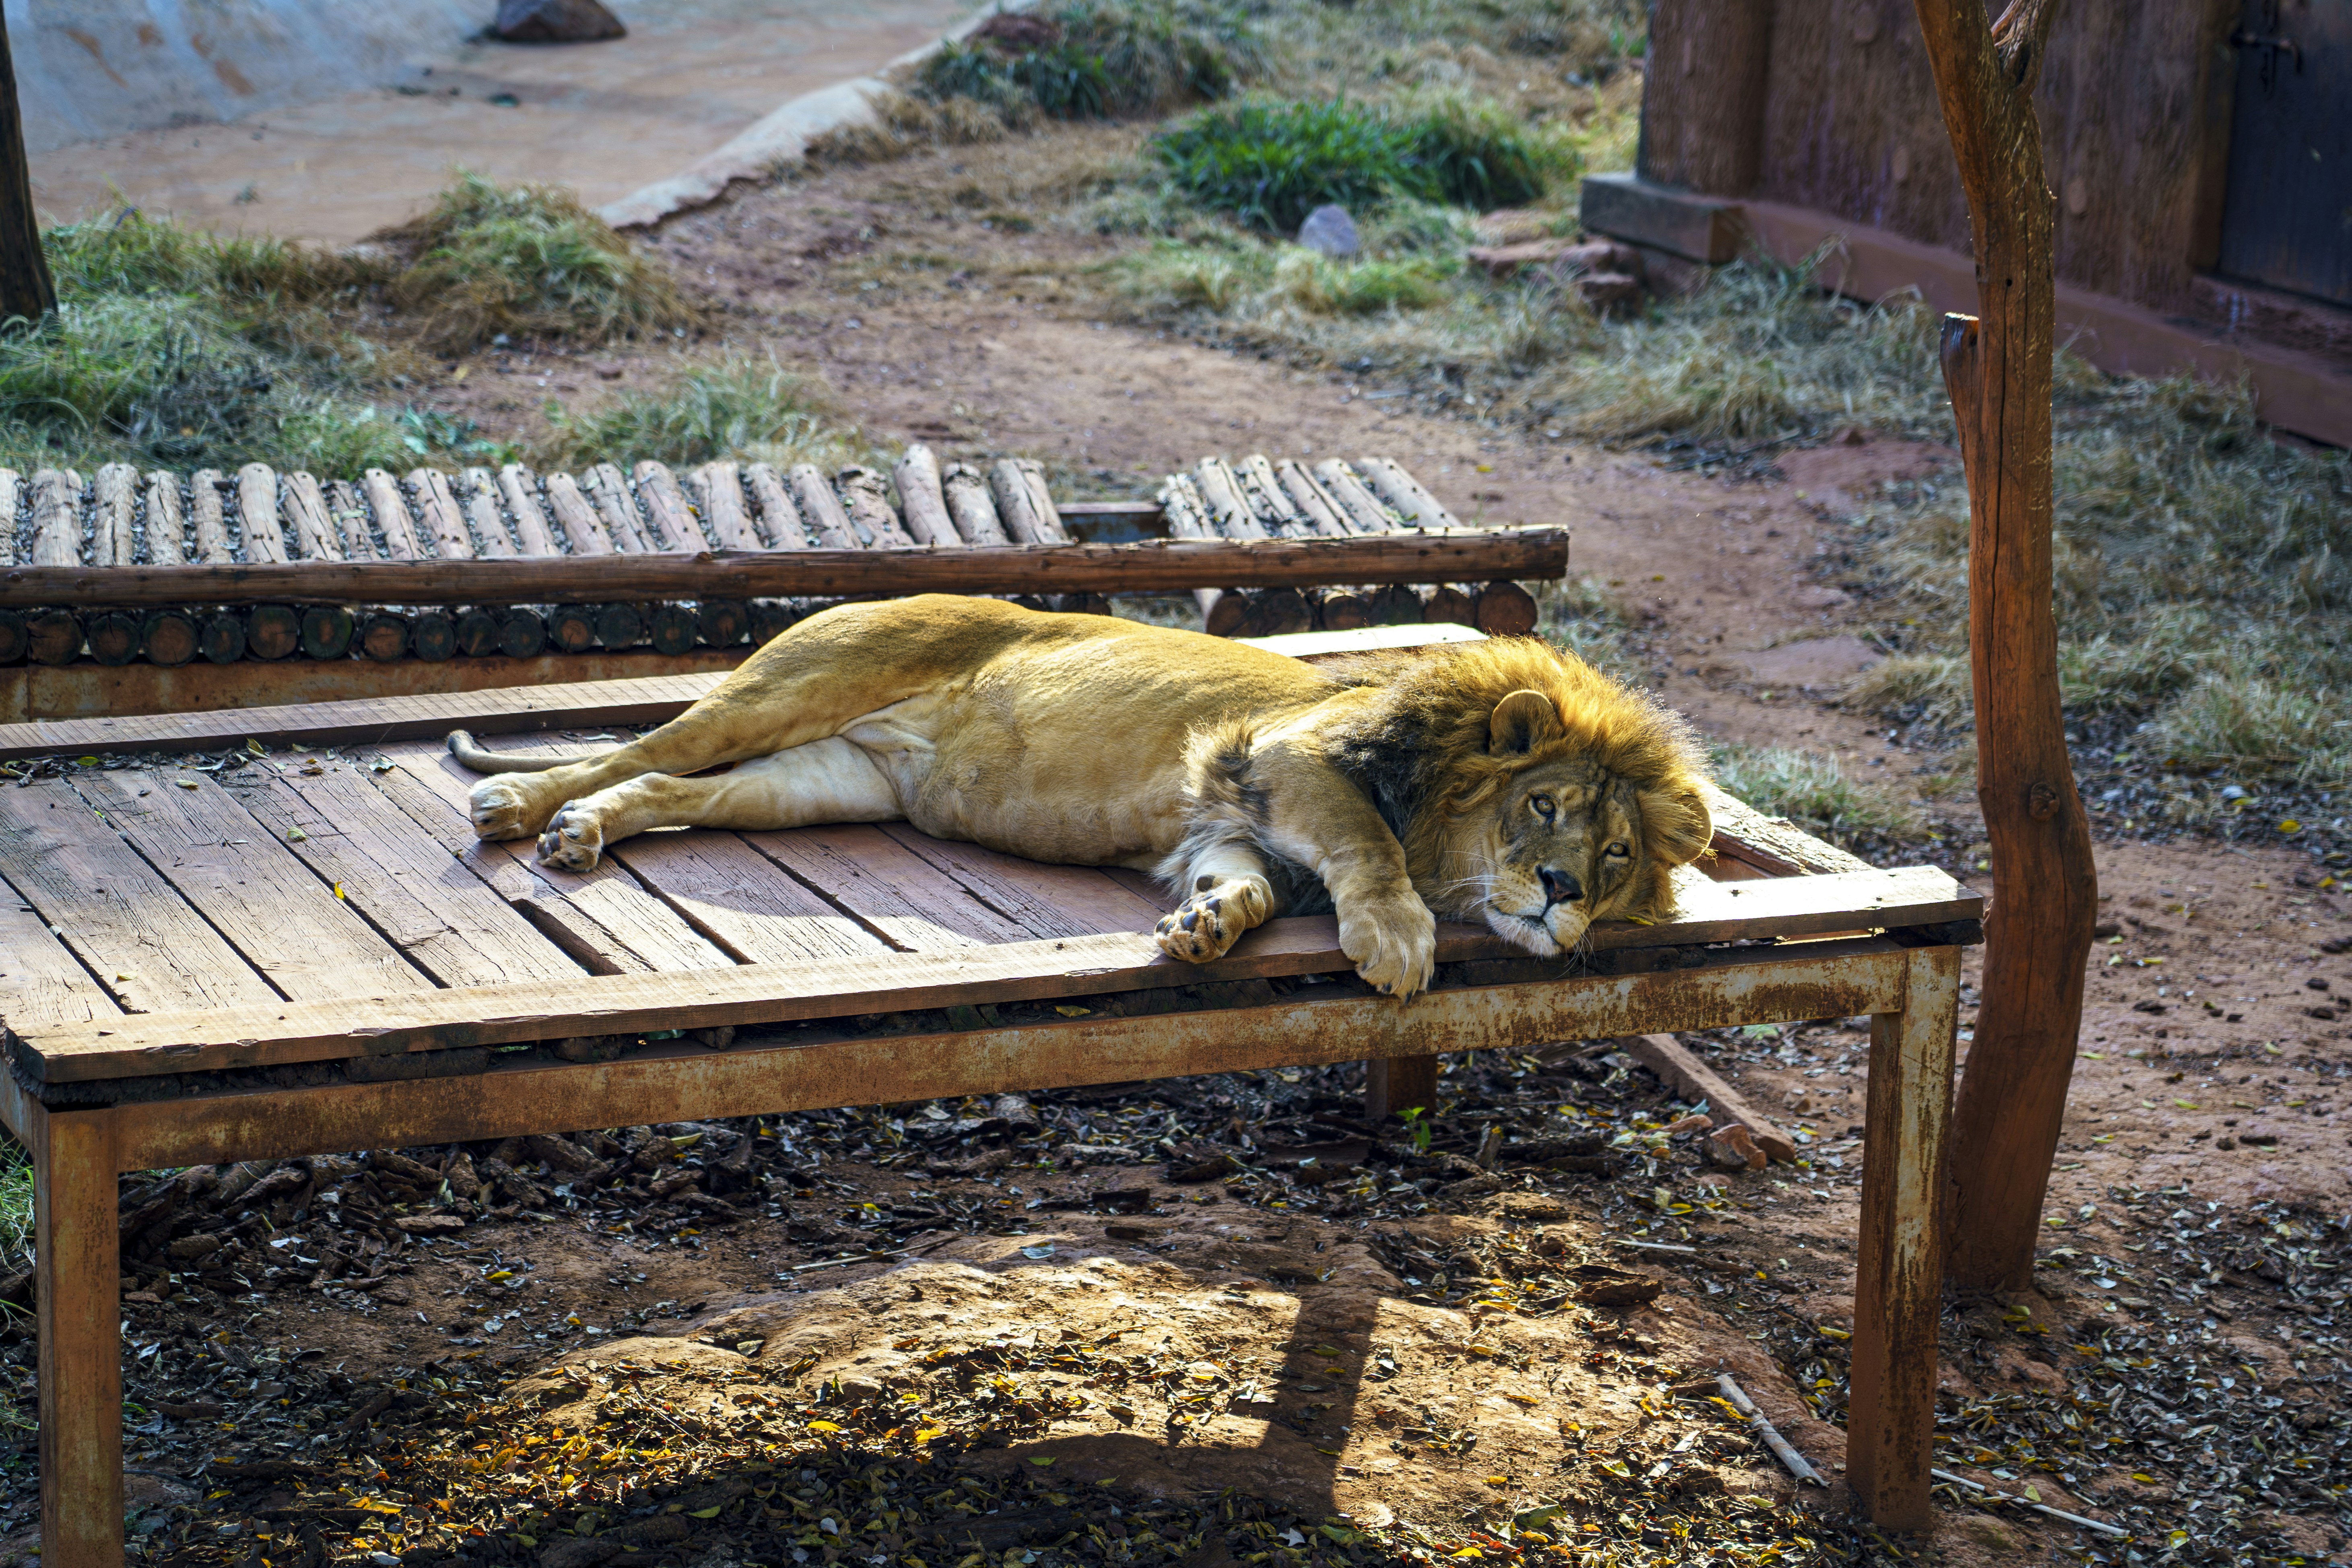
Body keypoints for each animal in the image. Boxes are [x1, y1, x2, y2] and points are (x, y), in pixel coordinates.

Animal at [449, 595, 1712, 999]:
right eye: (1542, 808)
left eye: (1614, 856)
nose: (1558, 890)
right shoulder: (1280, 752)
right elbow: (1371, 844)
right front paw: (1399, 940)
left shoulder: (1231, 823)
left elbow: (1248, 890)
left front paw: (1206, 928)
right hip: (786, 691)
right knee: (635, 749)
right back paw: (522, 805)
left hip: (821, 782)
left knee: (667, 785)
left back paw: (583, 833)